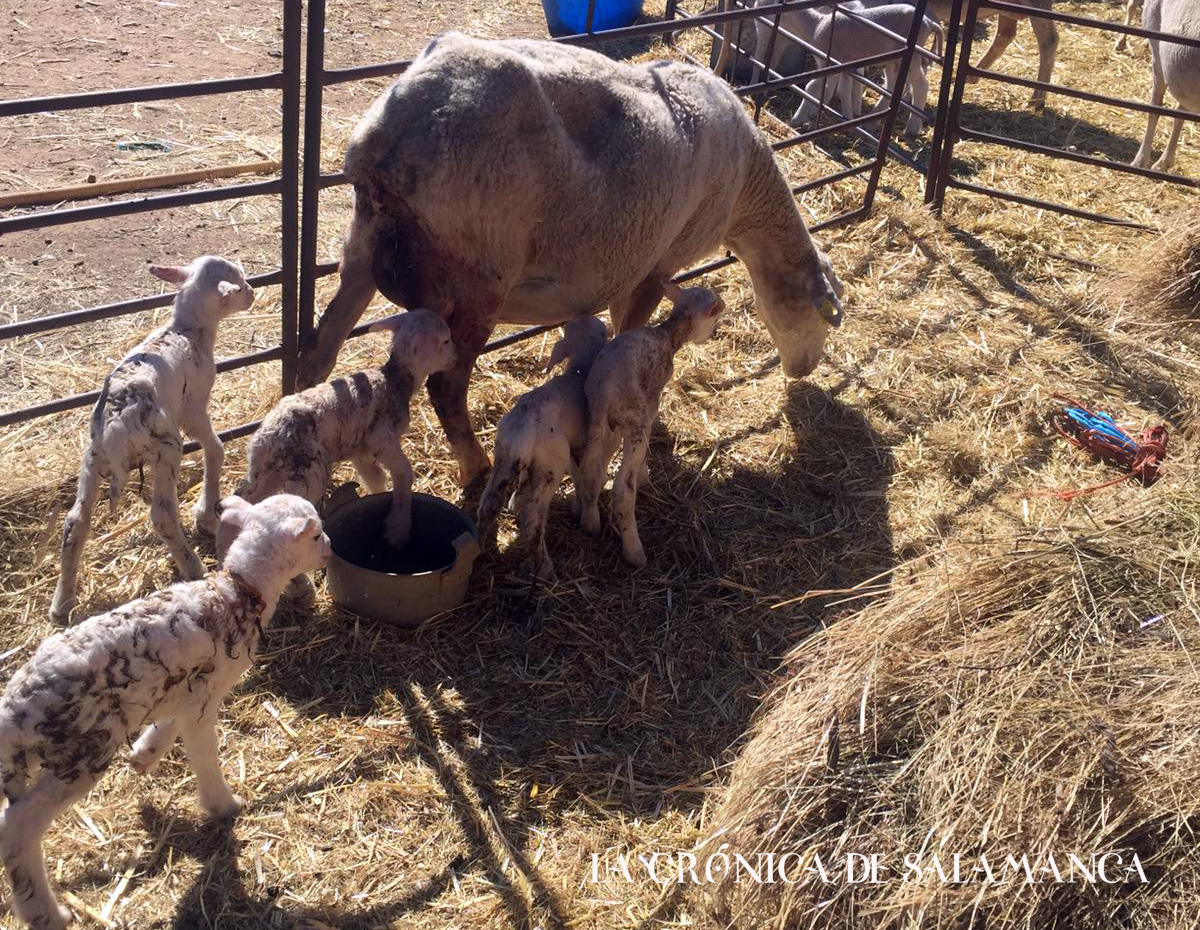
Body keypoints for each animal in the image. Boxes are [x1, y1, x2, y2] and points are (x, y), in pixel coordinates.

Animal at [48, 256, 253, 624]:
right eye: (239, 283)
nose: (253, 293)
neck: (186, 331)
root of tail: (117, 426)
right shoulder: (193, 407)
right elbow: (214, 448)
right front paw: (205, 514)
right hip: (166, 446)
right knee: (162, 515)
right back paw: (193, 567)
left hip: (92, 456)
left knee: (74, 523)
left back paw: (62, 604)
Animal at [237, 312, 453, 556]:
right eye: (446, 340)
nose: (455, 359)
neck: (396, 379)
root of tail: (270, 435)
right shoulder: (381, 437)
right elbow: (403, 473)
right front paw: (397, 528)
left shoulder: (360, 450)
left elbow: (375, 477)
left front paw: (378, 496)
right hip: (307, 473)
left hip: (264, 472)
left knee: (245, 499)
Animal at [576, 283, 724, 571]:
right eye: (714, 318)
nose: (712, 335)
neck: (667, 334)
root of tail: (605, 390)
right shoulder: (652, 396)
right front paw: (644, 473)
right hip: (635, 416)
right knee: (623, 489)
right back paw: (634, 552)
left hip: (597, 420)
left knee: (590, 471)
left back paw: (590, 522)